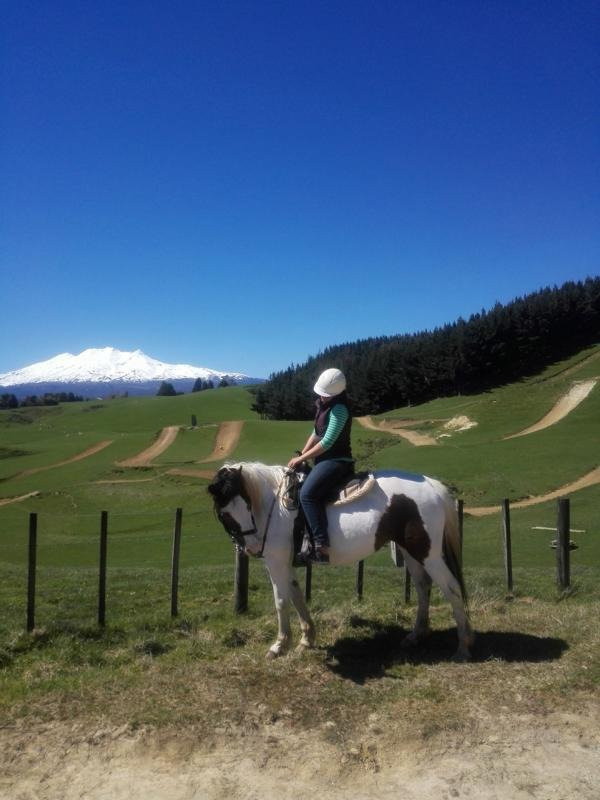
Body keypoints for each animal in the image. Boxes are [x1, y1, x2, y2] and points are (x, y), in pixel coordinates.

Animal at [206, 462, 474, 664]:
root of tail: (432, 485)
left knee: (452, 588)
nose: (251, 547)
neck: (276, 506)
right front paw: (306, 640)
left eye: (246, 504)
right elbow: (297, 595)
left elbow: (281, 601)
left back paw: (463, 647)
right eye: (224, 513)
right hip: (411, 552)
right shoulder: (287, 563)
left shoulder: (276, 561)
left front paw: (279, 645)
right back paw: (416, 635)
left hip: (429, 554)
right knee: (423, 587)